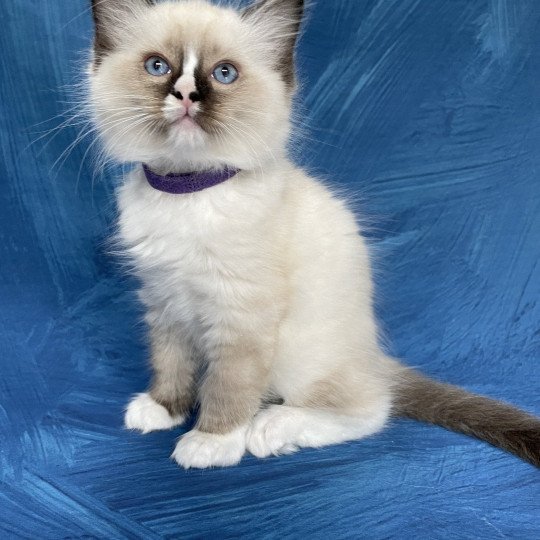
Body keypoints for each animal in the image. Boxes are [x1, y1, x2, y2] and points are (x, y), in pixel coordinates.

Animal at [88, 0, 540, 468]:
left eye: (224, 74)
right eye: (157, 67)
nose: (186, 95)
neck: (188, 192)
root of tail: (373, 354)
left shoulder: (241, 316)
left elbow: (228, 387)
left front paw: (212, 441)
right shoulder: (164, 301)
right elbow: (170, 363)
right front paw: (164, 408)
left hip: (297, 355)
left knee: (370, 408)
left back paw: (271, 429)